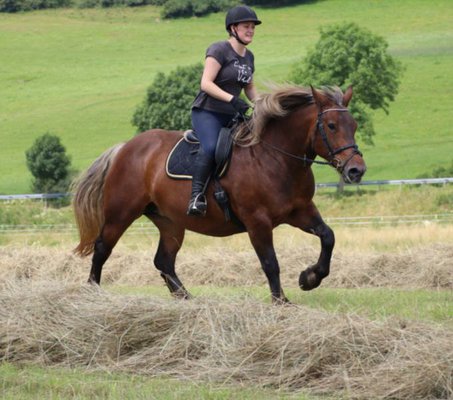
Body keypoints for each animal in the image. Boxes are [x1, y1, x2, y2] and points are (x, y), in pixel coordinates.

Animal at [72, 85, 366, 303]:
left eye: (353, 125)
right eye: (331, 125)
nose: (356, 170)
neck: (276, 158)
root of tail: (125, 148)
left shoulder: (301, 210)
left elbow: (328, 236)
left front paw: (309, 278)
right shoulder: (257, 221)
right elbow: (270, 262)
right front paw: (281, 301)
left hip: (170, 222)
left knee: (164, 261)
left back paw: (188, 299)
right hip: (121, 213)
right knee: (102, 248)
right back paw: (92, 292)